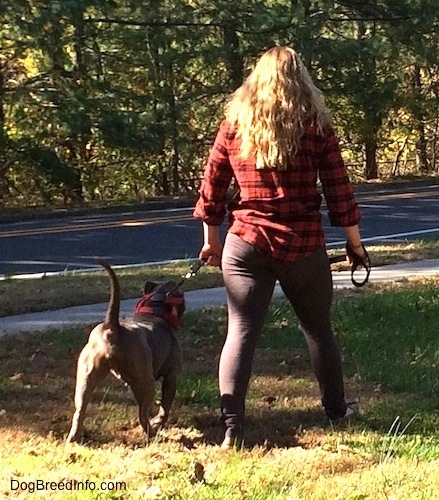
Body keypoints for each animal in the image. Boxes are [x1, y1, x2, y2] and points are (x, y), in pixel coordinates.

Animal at [65, 260, 184, 444]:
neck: (156, 309)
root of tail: (112, 327)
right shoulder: (171, 376)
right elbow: (165, 405)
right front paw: (159, 421)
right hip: (146, 382)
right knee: (142, 414)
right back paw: (152, 434)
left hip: (85, 379)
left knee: (80, 410)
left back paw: (74, 439)